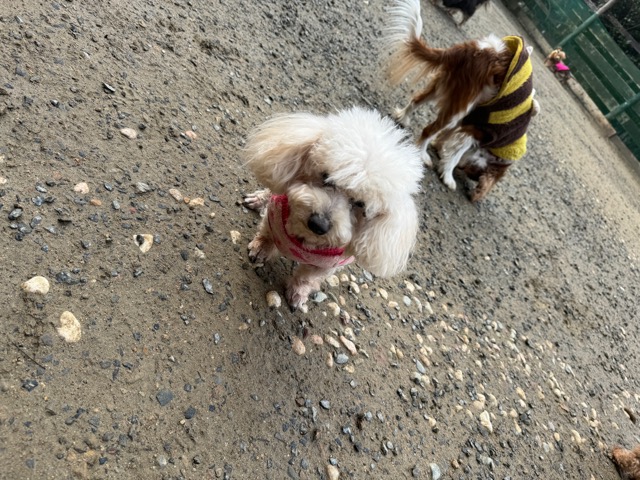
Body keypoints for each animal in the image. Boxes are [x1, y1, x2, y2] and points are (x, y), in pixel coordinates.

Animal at [243, 107, 424, 310]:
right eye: (326, 176)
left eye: (361, 204)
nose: (318, 224)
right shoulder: (274, 217)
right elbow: (267, 234)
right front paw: (261, 249)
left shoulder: (327, 265)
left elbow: (307, 278)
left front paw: (298, 293)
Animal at [384, 0, 540, 202]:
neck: (505, 147)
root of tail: (478, 49)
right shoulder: (475, 131)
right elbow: (456, 154)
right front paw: (448, 175)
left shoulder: (468, 121)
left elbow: (447, 138)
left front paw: (439, 148)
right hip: (461, 105)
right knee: (428, 130)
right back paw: (422, 154)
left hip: (448, 88)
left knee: (416, 100)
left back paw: (403, 118)